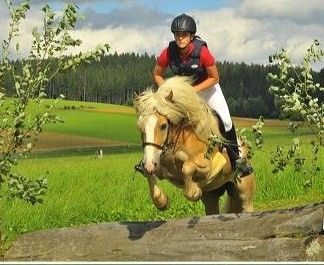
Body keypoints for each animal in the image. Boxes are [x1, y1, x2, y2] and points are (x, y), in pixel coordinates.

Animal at [133, 75, 254, 214]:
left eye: (163, 126)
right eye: (140, 127)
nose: (148, 164)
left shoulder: (209, 164)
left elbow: (187, 168)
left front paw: (195, 192)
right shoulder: (156, 164)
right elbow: (150, 176)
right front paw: (162, 202)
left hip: (244, 193)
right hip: (211, 196)